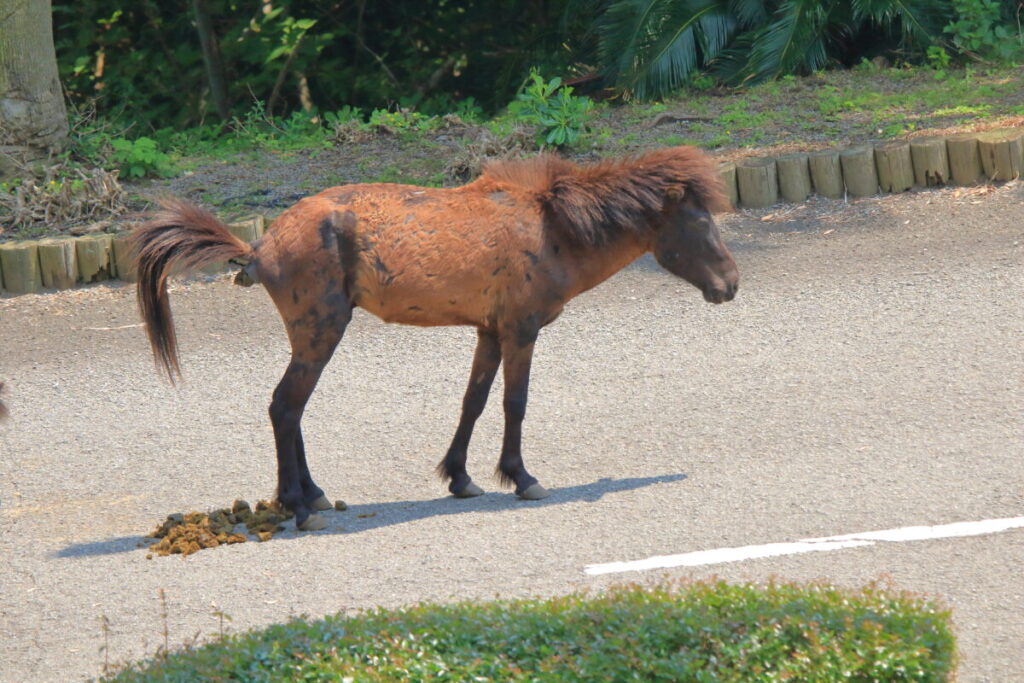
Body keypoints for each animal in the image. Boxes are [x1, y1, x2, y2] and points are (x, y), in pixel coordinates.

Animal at [131, 146, 739, 531]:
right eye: (700, 222)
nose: (731, 285)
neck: (552, 229)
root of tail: (259, 247)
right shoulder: (521, 331)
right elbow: (515, 403)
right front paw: (521, 477)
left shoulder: (489, 331)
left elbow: (473, 402)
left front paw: (461, 477)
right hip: (320, 332)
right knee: (285, 407)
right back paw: (298, 507)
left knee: (293, 411)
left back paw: (315, 495)